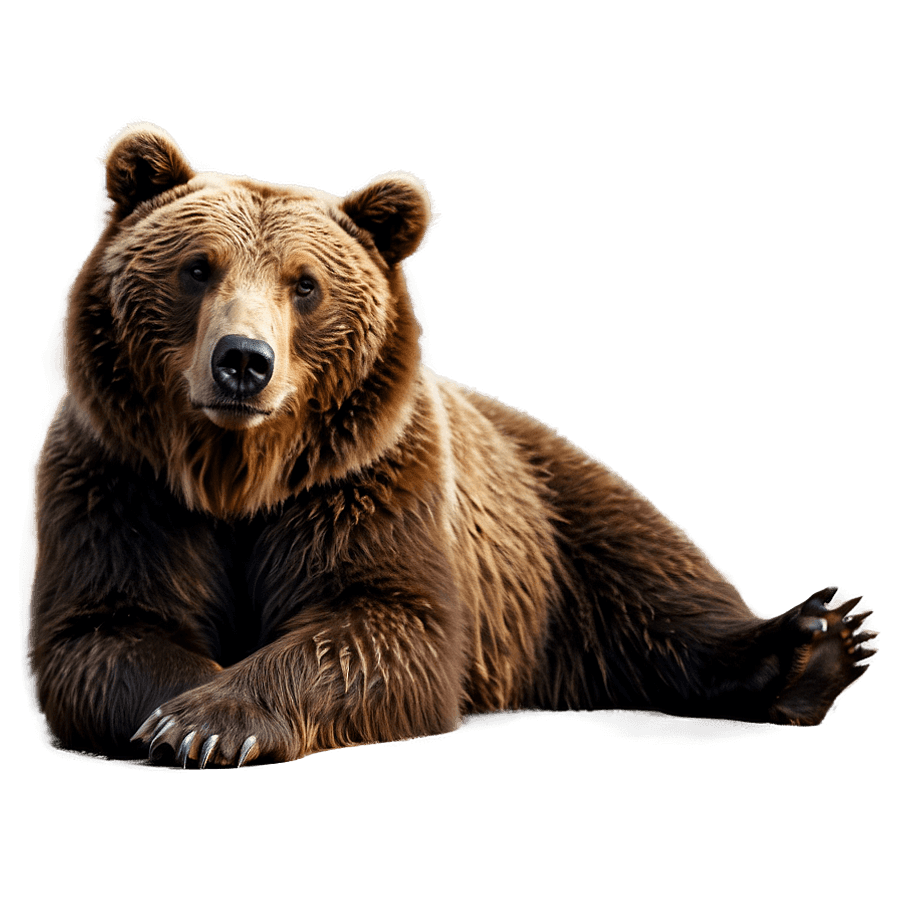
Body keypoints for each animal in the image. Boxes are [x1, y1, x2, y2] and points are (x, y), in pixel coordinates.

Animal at [24, 122, 879, 767]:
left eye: (305, 285)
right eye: (197, 268)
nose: (243, 361)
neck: (241, 475)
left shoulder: (362, 482)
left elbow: (383, 621)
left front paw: (213, 722)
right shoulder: (122, 484)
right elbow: (102, 629)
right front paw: (183, 713)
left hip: (554, 510)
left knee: (655, 578)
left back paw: (820, 639)